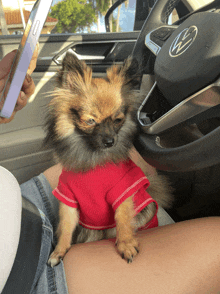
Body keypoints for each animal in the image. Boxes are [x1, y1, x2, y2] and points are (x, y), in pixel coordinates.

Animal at [44, 52, 172, 266]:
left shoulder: (122, 190)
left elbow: (123, 218)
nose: (110, 141)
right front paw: (59, 251)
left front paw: (126, 244)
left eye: (118, 120)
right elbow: (66, 226)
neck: (93, 158)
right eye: (90, 121)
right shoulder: (68, 196)